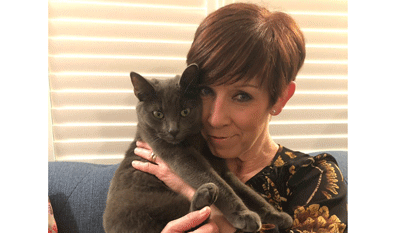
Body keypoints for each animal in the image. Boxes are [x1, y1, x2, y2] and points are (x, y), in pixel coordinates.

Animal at [103, 64, 292, 233]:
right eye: (158, 114)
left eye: (185, 111)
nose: (173, 131)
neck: (195, 141)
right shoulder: (180, 156)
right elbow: (220, 185)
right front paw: (244, 215)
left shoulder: (223, 169)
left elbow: (247, 192)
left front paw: (277, 216)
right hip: (157, 204)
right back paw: (204, 195)